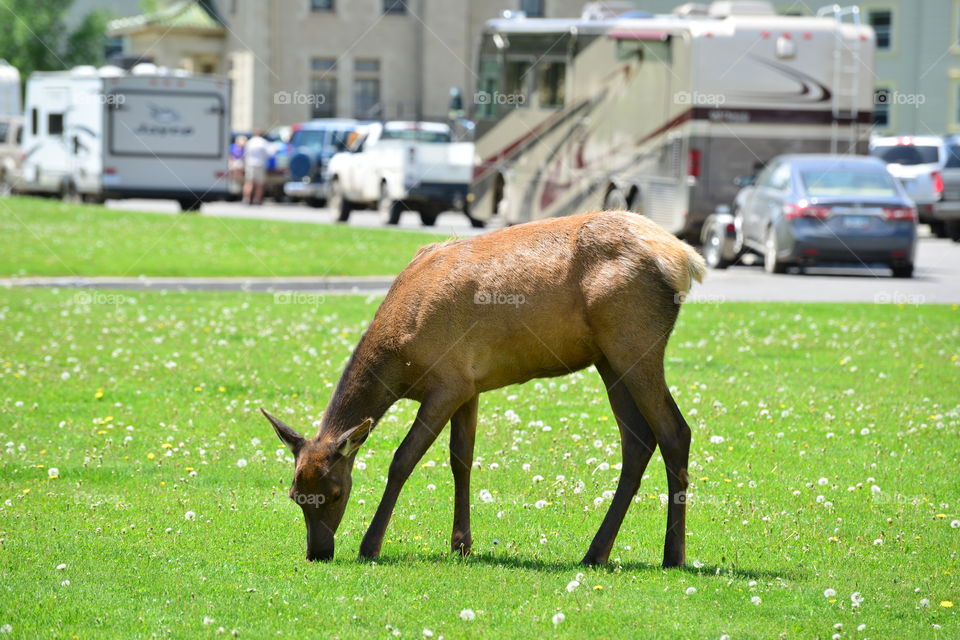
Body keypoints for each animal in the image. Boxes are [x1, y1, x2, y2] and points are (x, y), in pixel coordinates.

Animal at [260, 210, 706, 568]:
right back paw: (596, 552)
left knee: (674, 431)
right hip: (608, 359)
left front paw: (371, 546)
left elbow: (402, 460)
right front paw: (461, 544)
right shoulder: (469, 387)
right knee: (638, 441)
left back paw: (673, 555)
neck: (401, 358)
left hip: (634, 342)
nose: (318, 552)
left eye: (336, 493)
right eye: (295, 494)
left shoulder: (448, 380)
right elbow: (461, 460)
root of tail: (684, 258)